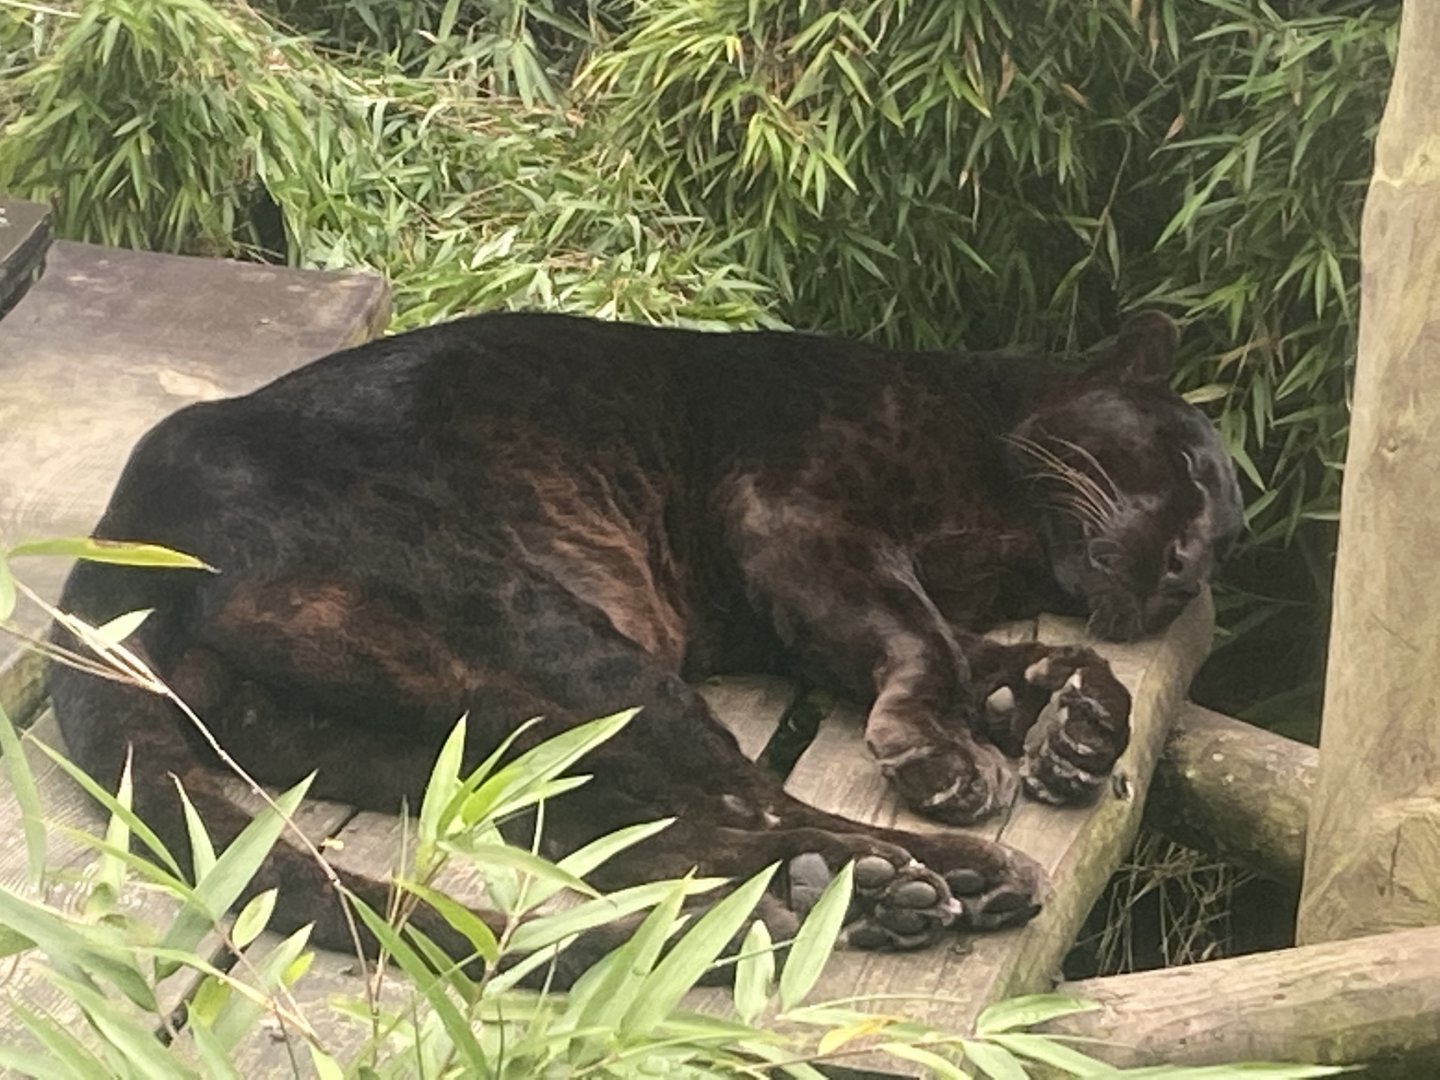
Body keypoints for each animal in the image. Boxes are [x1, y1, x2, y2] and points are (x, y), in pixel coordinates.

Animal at [47, 308, 1242, 978]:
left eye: (1227, 533)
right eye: (1190, 467)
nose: (1195, 567)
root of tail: (117, 539)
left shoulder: (814, 599)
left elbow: (997, 655)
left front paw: (1073, 729)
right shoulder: (797, 516)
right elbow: (923, 642)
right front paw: (946, 758)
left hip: (442, 732)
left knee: (638, 834)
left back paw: (848, 896)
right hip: (558, 640)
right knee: (737, 802)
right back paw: (919, 878)